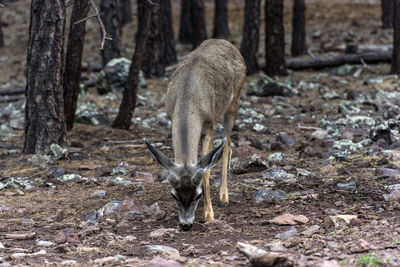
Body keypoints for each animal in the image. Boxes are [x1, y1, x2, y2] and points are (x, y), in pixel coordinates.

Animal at [145, 38, 245, 231]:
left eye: (198, 195)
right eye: (173, 195)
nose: (186, 225)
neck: (187, 98)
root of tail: (227, 42)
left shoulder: (209, 124)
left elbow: (206, 171)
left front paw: (209, 214)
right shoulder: (171, 119)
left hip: (234, 101)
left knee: (228, 145)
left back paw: (224, 197)